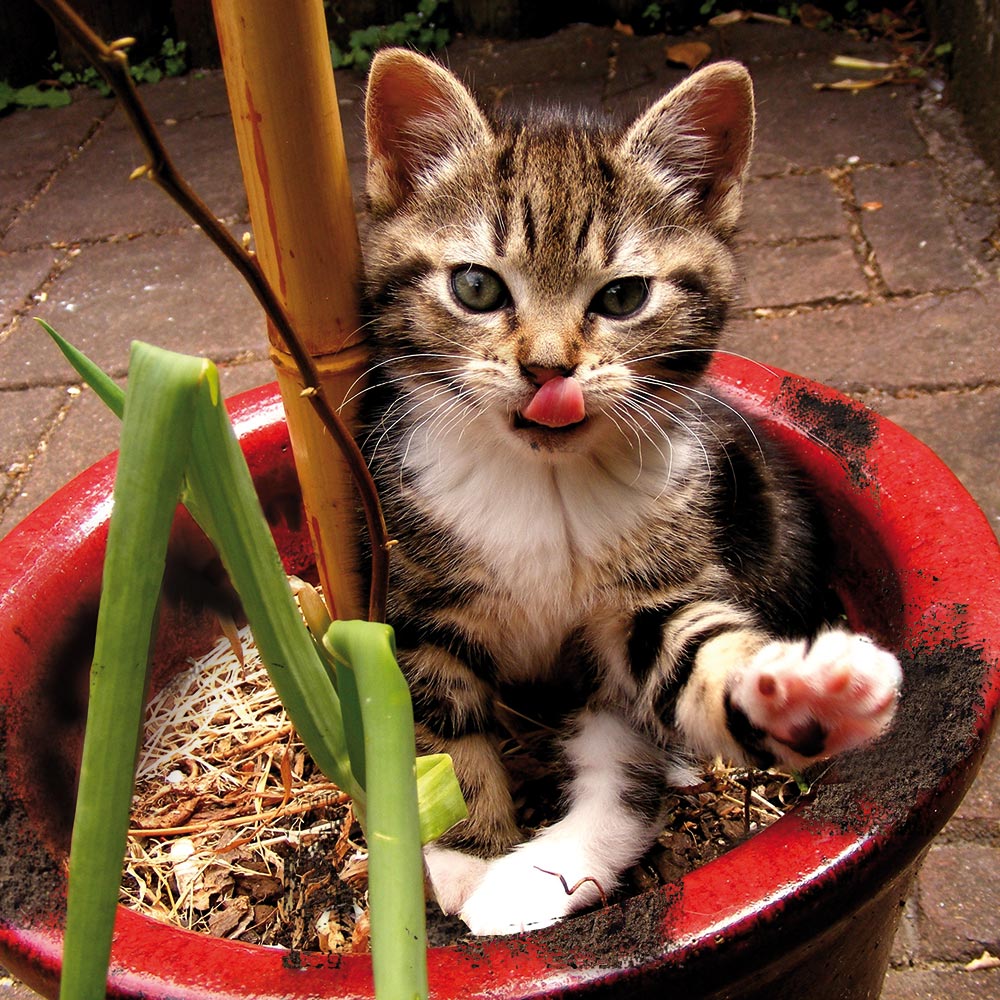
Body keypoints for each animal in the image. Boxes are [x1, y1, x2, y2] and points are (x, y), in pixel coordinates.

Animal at [358, 48, 900, 936]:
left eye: (621, 297)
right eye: (476, 287)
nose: (547, 370)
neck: (543, 483)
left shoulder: (651, 587)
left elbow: (690, 655)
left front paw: (793, 691)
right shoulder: (413, 600)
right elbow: (437, 725)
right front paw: (466, 849)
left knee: (623, 771)